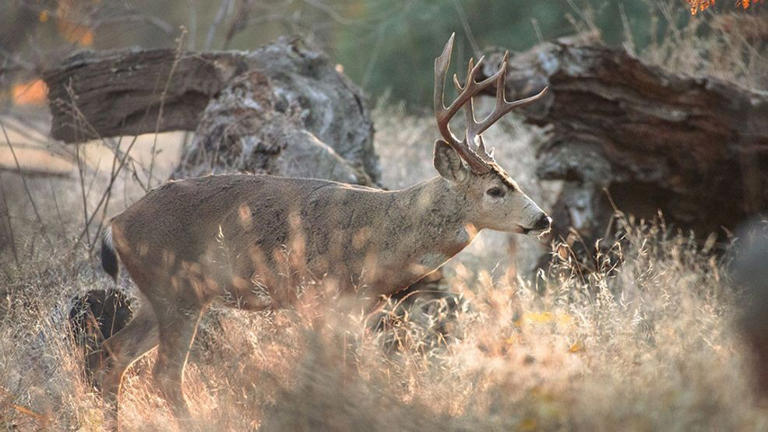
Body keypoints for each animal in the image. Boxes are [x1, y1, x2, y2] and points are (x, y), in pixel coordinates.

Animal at [97, 33, 551, 420]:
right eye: (495, 189)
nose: (542, 218)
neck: (383, 235)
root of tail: (116, 223)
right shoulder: (319, 296)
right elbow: (328, 372)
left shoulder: (353, 309)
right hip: (177, 290)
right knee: (163, 374)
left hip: (158, 294)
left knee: (114, 353)